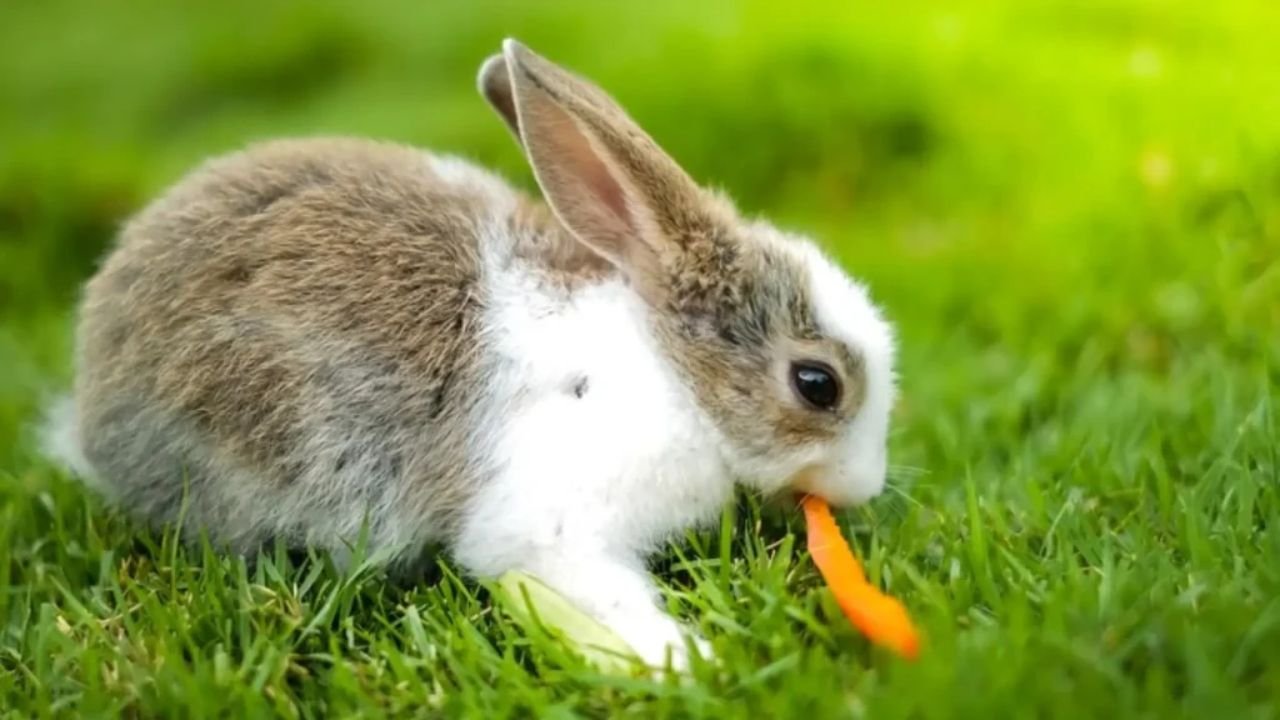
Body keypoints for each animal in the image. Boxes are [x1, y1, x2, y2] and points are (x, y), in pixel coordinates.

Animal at [42, 38, 898, 671]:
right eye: (818, 384)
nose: (865, 486)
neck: (670, 372)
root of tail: (89, 393)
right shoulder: (549, 528)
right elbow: (591, 589)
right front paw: (685, 661)